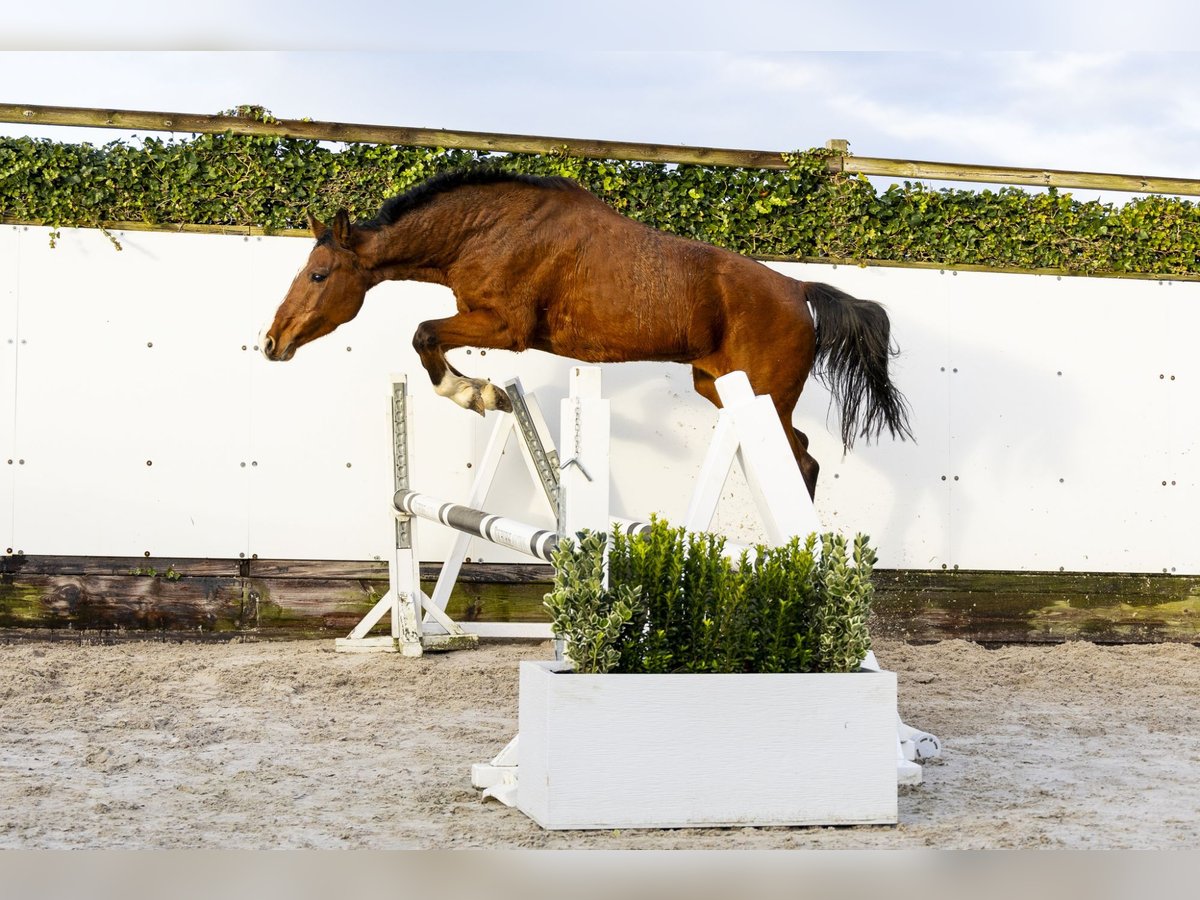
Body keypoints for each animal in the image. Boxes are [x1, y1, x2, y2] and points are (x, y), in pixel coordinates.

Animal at [262, 169, 912, 501]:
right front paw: (486, 393)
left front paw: (477, 395)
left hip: (765, 396)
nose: (272, 341)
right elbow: (432, 342)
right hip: (720, 387)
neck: (485, 230)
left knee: (801, 462)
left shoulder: (506, 326)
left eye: (319, 274)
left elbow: (425, 335)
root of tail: (800, 288)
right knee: (794, 455)